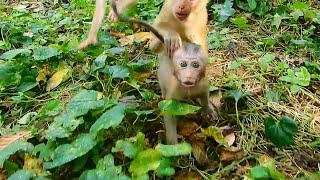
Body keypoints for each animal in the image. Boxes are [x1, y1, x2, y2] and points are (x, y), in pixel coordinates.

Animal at [111, 1, 216, 144]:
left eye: (195, 65)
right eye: (183, 64)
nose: (189, 76)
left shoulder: (202, 84)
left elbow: (205, 95)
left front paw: (207, 108)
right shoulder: (175, 90)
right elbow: (169, 111)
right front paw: (174, 146)